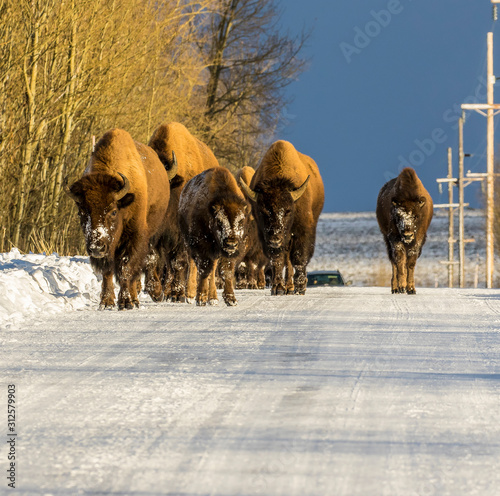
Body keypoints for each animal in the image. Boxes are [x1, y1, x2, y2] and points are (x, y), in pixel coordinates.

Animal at [64, 128, 175, 310]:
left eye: (113, 211)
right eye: (81, 212)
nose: (96, 247)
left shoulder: (134, 237)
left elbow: (126, 268)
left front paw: (125, 302)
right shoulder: (106, 249)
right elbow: (107, 271)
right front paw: (106, 302)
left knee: (145, 263)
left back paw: (143, 297)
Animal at [147, 123, 220, 302]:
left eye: (161, 185)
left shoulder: (180, 238)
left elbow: (179, 263)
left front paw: (177, 293)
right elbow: (155, 261)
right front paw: (158, 292)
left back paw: (196, 293)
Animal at [179, 167, 250, 306]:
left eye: (241, 221)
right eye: (219, 221)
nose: (231, 243)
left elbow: (225, 271)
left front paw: (231, 299)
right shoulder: (201, 245)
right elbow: (204, 269)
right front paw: (200, 298)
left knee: (212, 271)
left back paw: (212, 298)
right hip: (188, 242)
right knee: (193, 264)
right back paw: (191, 295)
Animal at [238, 140, 324, 294]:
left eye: (288, 211)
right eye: (263, 211)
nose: (275, 238)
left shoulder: (303, 231)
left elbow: (299, 258)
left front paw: (300, 287)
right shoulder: (265, 236)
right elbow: (277, 260)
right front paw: (277, 288)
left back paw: (293, 287)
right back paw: (287, 287)